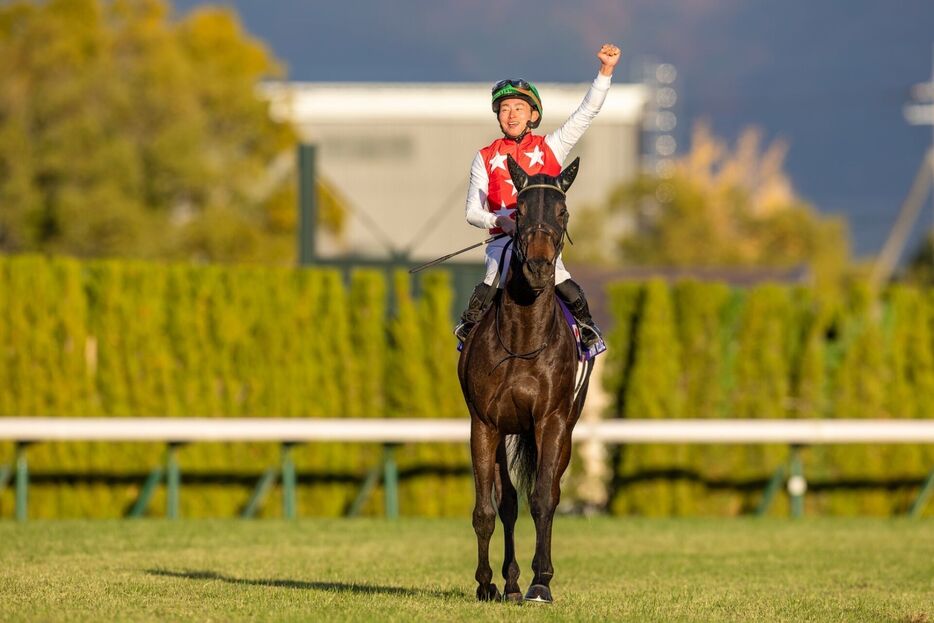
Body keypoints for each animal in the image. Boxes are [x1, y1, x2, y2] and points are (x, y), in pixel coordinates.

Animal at [458, 155, 596, 604]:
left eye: (562, 212)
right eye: (517, 212)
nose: (537, 267)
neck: (523, 339)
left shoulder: (550, 421)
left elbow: (543, 499)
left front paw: (541, 582)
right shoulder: (484, 424)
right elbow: (488, 509)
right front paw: (487, 582)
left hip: (567, 426)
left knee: (548, 492)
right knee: (508, 503)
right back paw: (511, 581)